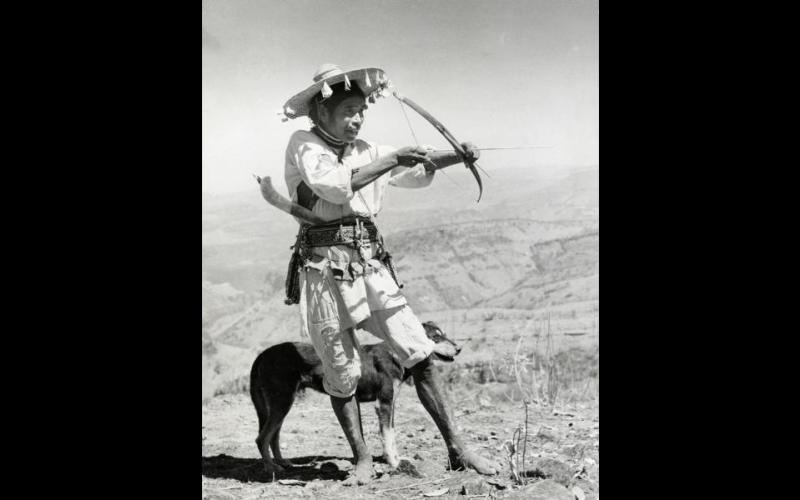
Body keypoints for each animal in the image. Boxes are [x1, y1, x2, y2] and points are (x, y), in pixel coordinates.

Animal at [250, 320, 462, 472]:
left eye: (443, 335)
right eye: (435, 337)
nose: (459, 349)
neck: (395, 354)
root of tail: (263, 354)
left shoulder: (390, 404)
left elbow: (391, 434)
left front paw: (394, 458)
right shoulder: (384, 403)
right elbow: (387, 435)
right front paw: (393, 462)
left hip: (282, 403)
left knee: (273, 435)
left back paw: (282, 462)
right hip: (282, 401)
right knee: (262, 438)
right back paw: (270, 467)